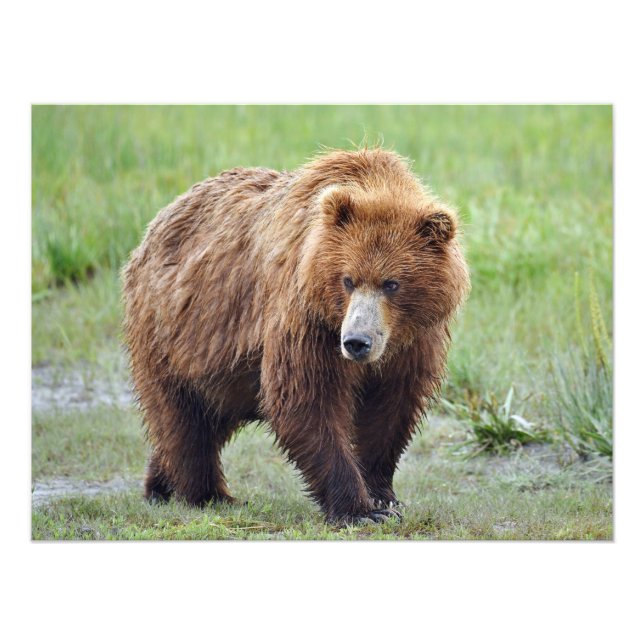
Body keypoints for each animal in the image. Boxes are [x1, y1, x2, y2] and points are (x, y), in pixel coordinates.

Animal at [122, 148, 469, 524]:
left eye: (391, 284)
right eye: (348, 280)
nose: (356, 342)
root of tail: (155, 224)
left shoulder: (413, 339)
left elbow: (391, 409)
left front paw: (383, 497)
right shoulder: (307, 318)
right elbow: (306, 399)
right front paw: (358, 509)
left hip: (224, 368)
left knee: (206, 416)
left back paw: (159, 484)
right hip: (174, 332)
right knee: (183, 420)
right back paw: (208, 494)